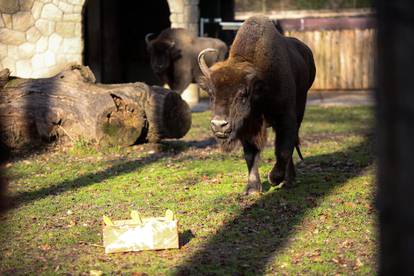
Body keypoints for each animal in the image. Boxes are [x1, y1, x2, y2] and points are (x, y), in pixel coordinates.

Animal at [199, 16, 316, 195]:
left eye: (242, 94)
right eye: (211, 94)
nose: (219, 125)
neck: (260, 87)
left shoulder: (285, 118)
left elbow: (283, 150)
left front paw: (274, 178)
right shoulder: (247, 127)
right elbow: (251, 155)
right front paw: (253, 188)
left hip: (300, 110)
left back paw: (289, 180)